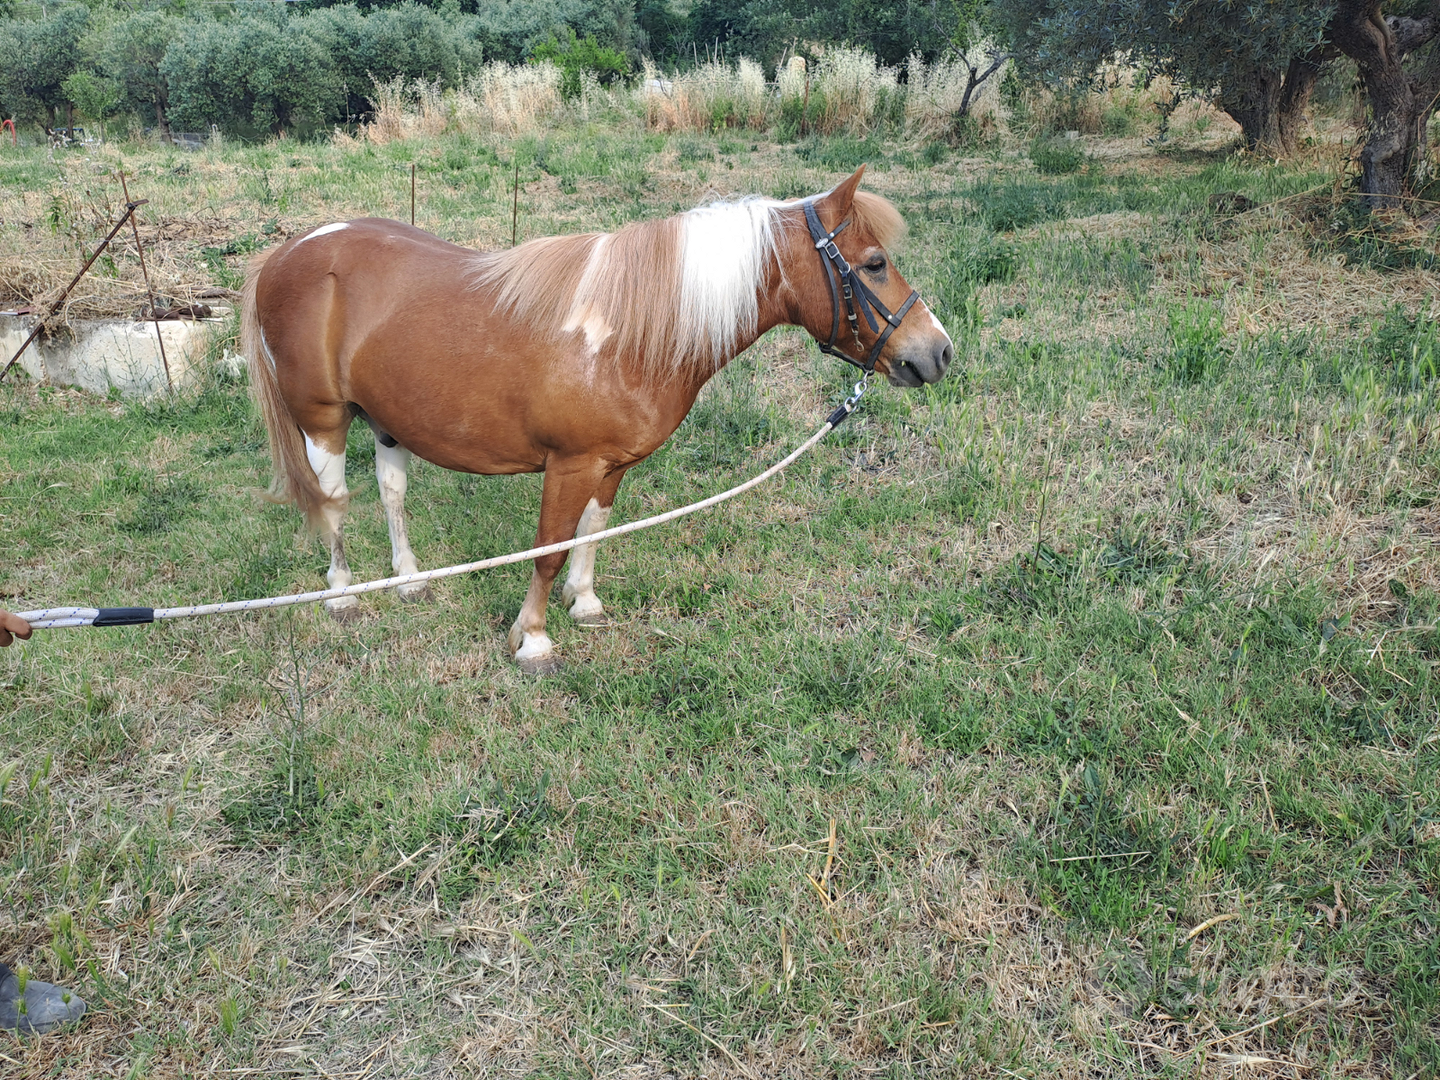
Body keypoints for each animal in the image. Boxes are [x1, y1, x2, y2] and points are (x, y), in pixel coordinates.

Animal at [241, 165, 952, 673]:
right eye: (874, 264)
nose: (938, 351)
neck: (626, 333)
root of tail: (286, 254)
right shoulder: (570, 464)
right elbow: (550, 549)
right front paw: (532, 639)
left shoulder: (610, 466)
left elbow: (592, 530)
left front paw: (583, 604)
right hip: (323, 420)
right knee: (334, 502)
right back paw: (341, 594)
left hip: (387, 418)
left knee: (392, 493)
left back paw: (411, 582)